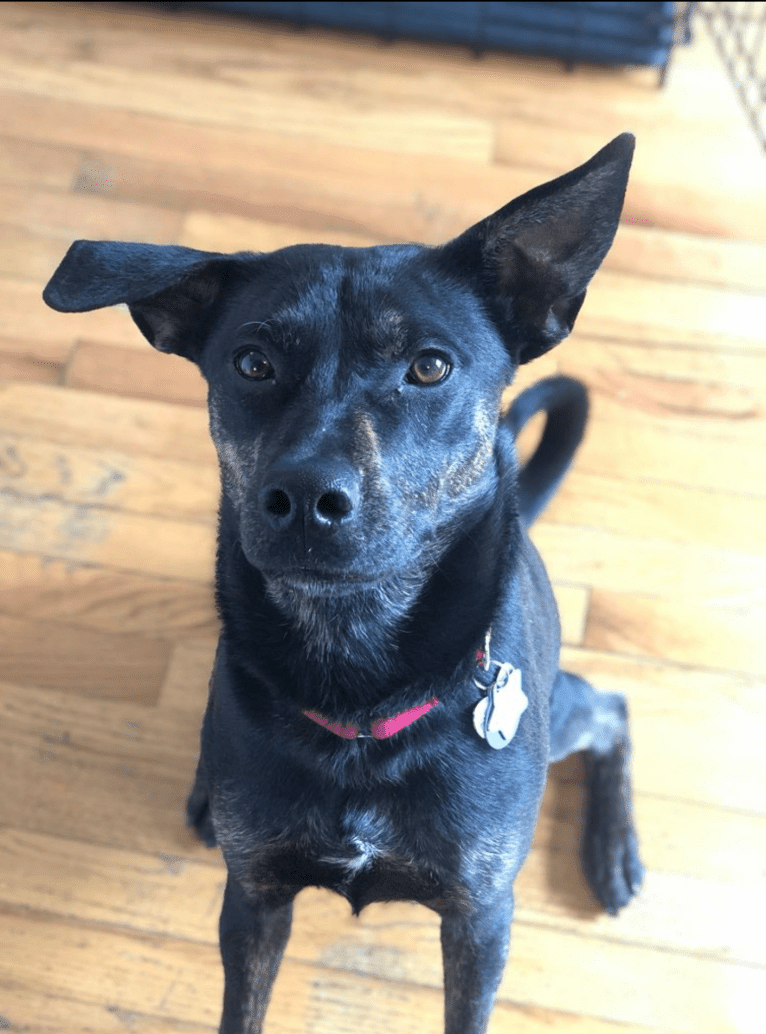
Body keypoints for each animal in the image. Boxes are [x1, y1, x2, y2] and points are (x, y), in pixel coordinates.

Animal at [44, 135, 640, 1034]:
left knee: (613, 709)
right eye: (252, 362)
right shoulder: (253, 899)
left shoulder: (480, 919)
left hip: (561, 709)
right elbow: (242, 1008)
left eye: (429, 367)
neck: (355, 664)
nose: (303, 498)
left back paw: (612, 848)